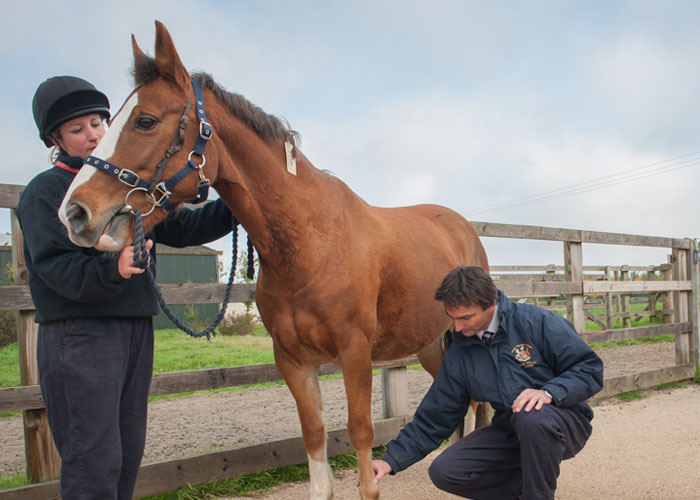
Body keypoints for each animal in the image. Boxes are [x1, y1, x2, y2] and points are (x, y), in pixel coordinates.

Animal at [58, 20, 486, 500]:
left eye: (145, 121)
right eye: (106, 122)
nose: (75, 213)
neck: (310, 247)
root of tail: (462, 227)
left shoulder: (354, 353)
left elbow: (361, 438)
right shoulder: (293, 361)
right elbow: (315, 439)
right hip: (431, 344)